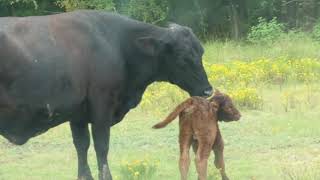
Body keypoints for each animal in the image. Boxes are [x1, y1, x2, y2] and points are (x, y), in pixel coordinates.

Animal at [0, 10, 212, 179]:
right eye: (182, 57)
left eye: (201, 52)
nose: (208, 90)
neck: (118, 44)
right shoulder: (102, 107)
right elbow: (101, 146)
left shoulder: (78, 114)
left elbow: (81, 145)